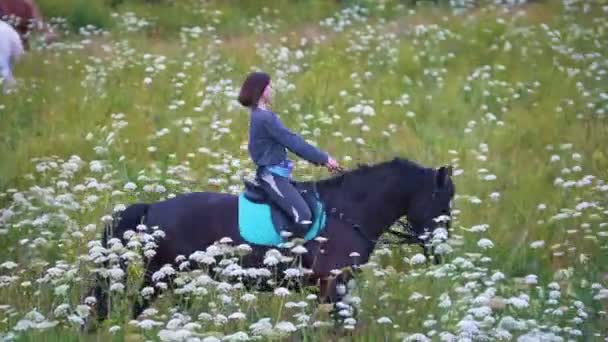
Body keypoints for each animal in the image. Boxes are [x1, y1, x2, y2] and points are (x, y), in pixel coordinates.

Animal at [92, 158, 454, 320]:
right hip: (160, 277)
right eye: (442, 201)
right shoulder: (331, 284)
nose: (440, 254)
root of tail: (152, 208)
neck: (349, 212)